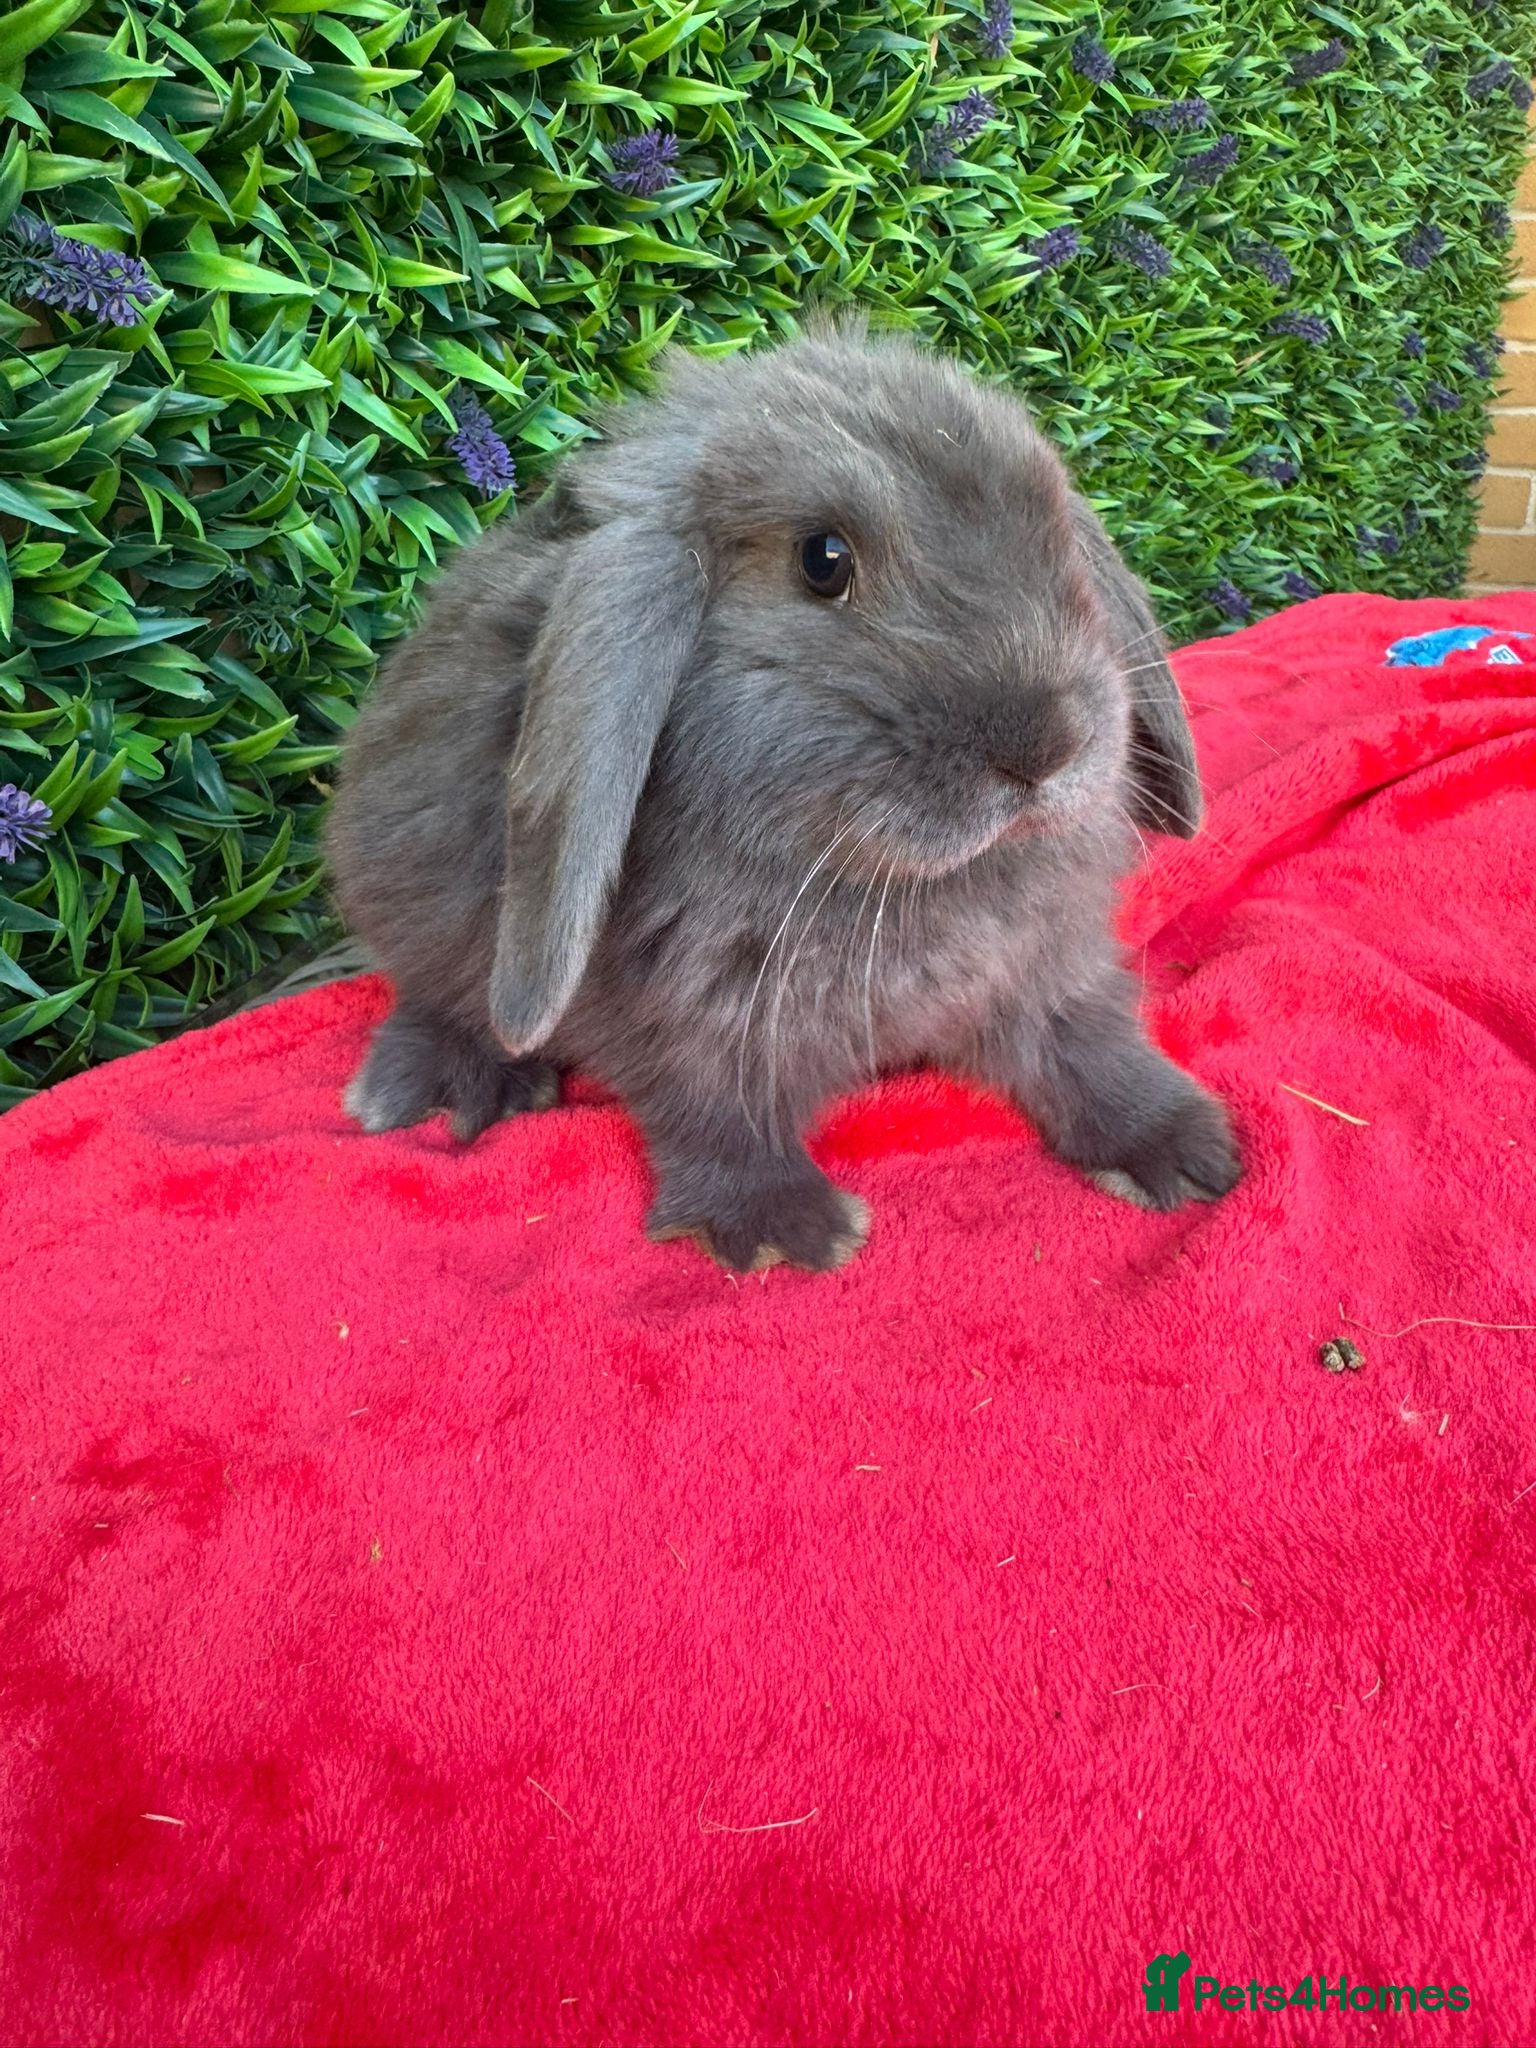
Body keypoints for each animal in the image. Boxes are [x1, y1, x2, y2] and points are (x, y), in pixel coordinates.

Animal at [326, 316, 1240, 1272]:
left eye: (1056, 529)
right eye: (822, 560)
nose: (1047, 748)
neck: (894, 883)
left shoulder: (1045, 967)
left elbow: (1085, 1043)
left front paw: (1180, 1150)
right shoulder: (683, 1022)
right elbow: (715, 1112)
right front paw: (781, 1229)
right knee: (432, 993)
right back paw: (444, 1086)